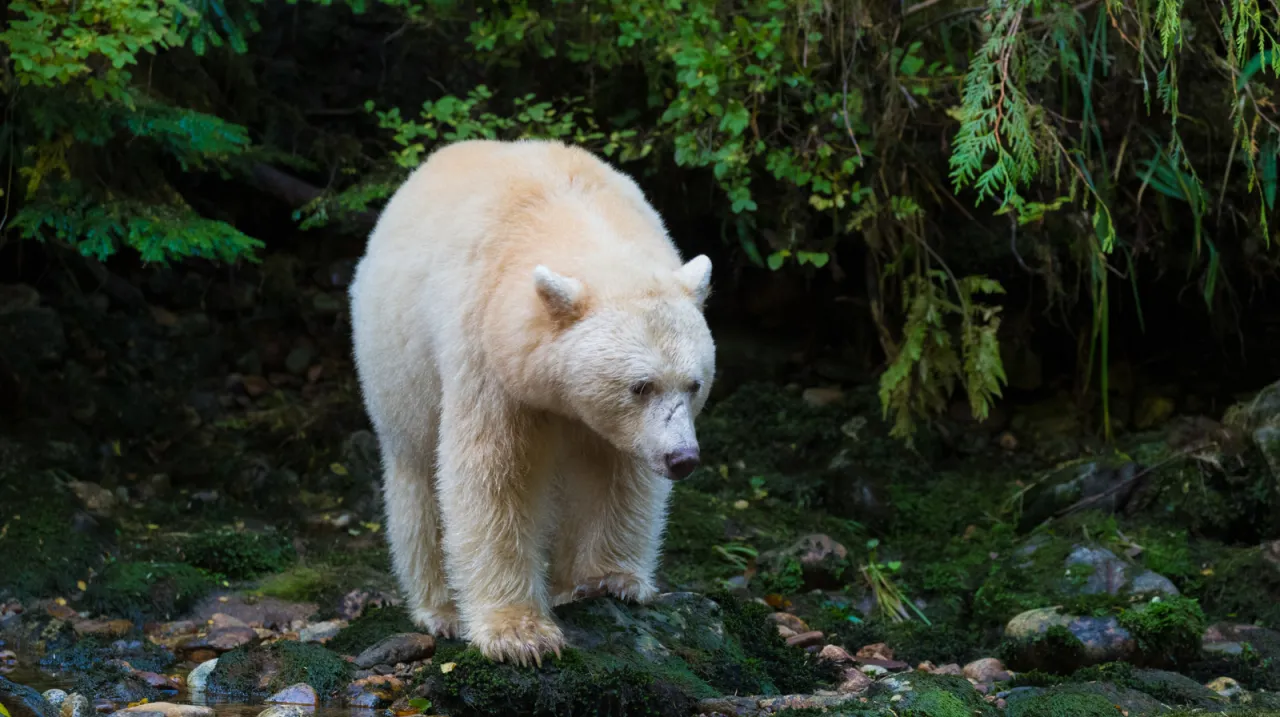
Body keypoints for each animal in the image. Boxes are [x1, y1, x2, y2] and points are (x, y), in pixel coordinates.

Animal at [347, 138, 716, 667]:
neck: (571, 216)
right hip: (396, 363)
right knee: (415, 471)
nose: (681, 458)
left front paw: (611, 580)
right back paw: (440, 609)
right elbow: (496, 476)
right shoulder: (487, 353)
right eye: (640, 385)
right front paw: (520, 634)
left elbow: (617, 474)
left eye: (694, 384)